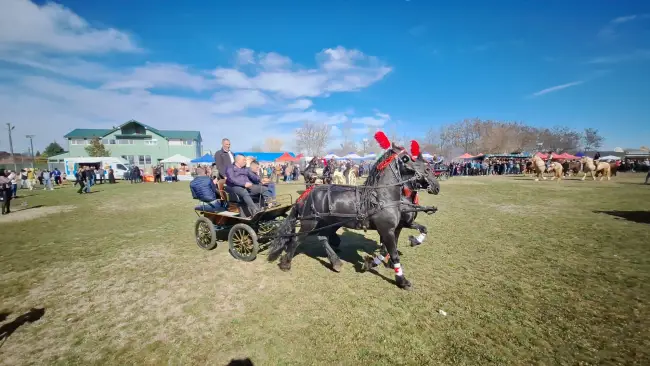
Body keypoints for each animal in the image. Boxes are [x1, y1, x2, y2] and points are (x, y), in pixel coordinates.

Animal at [266, 140, 438, 288]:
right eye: (406, 158)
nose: (436, 186)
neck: (383, 196)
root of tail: (306, 194)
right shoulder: (387, 230)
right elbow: (394, 254)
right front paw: (402, 280)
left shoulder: (395, 228)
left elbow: (389, 249)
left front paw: (372, 262)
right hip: (310, 223)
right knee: (296, 240)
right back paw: (286, 263)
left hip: (327, 223)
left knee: (323, 238)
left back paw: (335, 262)